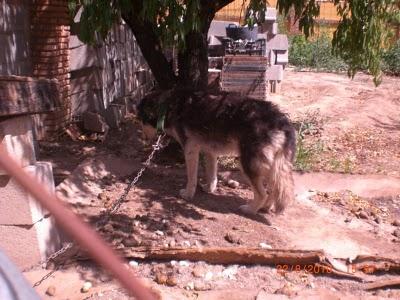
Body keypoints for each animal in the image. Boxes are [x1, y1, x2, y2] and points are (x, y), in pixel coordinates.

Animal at [138, 89, 296, 216]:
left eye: (141, 120)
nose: (142, 138)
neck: (168, 107)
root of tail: (282, 122)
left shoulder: (190, 150)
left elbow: (192, 178)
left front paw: (188, 194)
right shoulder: (210, 152)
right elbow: (212, 174)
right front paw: (210, 188)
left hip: (247, 164)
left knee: (262, 194)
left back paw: (250, 210)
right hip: (270, 167)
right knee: (274, 189)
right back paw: (265, 207)